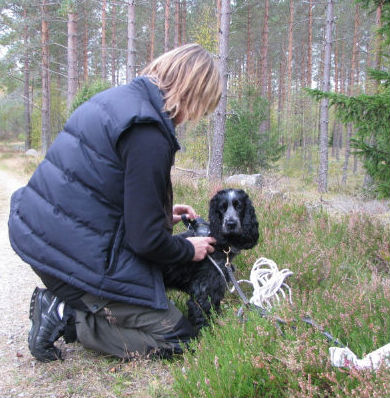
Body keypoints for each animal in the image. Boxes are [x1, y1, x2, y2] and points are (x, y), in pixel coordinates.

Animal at [162, 188, 258, 334]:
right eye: (222, 208)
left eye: (239, 206)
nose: (230, 223)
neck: (219, 244)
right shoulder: (202, 293)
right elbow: (203, 320)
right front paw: (207, 335)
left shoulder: (216, 288)